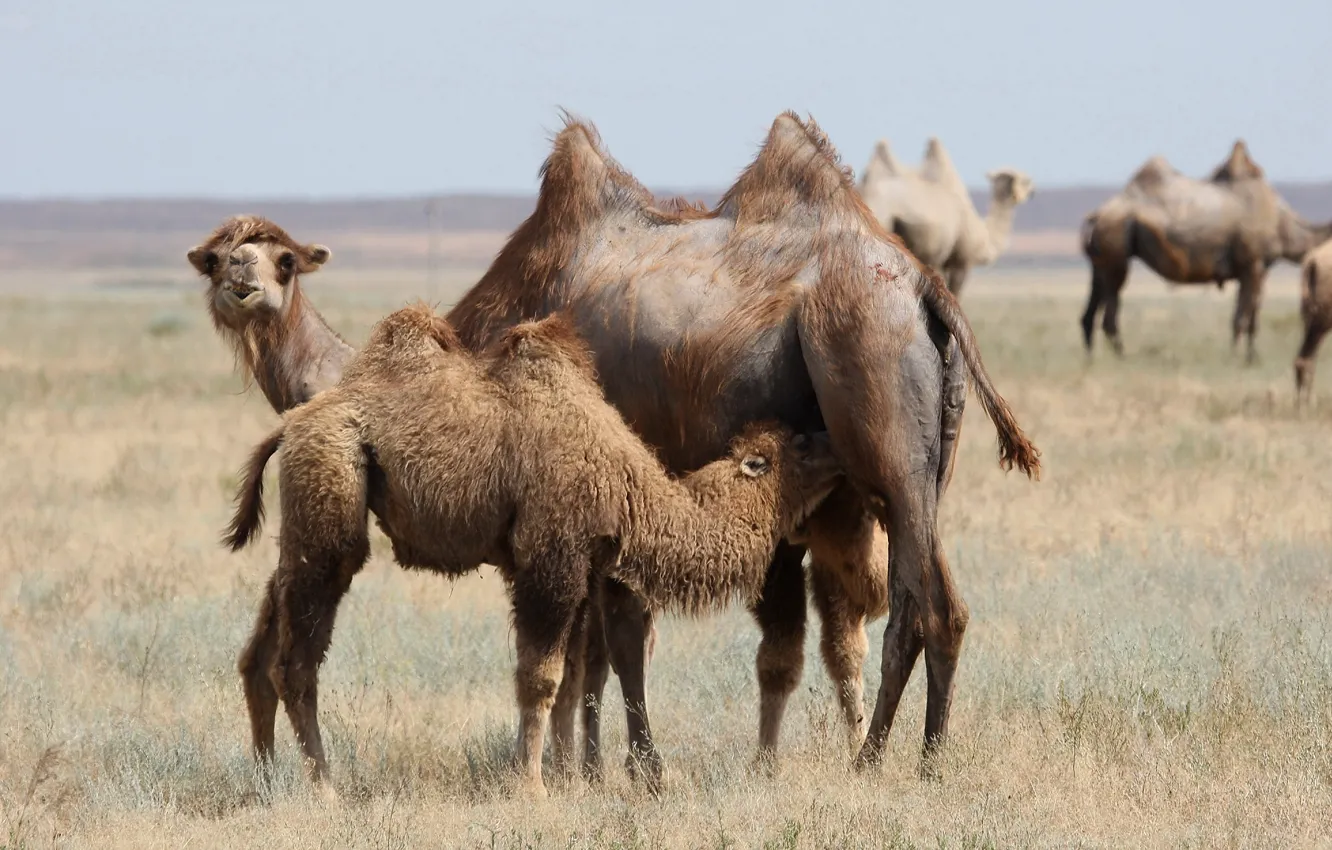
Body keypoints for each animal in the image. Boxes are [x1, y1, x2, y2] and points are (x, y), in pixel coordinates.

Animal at [223, 303, 843, 795]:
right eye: (799, 444)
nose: (837, 446)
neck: (626, 481)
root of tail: (289, 426)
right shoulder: (551, 556)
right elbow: (540, 676)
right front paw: (531, 786)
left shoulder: (583, 563)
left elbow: (572, 676)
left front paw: (568, 779)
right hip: (332, 489)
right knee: (297, 660)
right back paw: (325, 788)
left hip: (306, 521)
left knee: (262, 646)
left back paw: (265, 780)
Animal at [1081, 141, 1332, 362]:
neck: (1284, 224)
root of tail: (1096, 215)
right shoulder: (1252, 264)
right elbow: (1243, 318)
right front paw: (1239, 359)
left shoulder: (1258, 268)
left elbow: (1248, 316)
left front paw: (1249, 358)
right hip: (1115, 248)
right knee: (1109, 314)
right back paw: (1123, 358)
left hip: (1100, 260)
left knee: (1089, 312)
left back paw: (1091, 360)